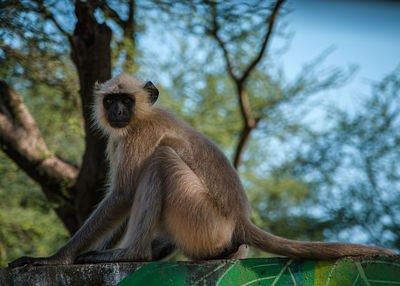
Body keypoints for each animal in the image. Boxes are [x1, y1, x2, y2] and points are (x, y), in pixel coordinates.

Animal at [7, 74, 396, 268]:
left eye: (126, 100)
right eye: (111, 100)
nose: (117, 111)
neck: (141, 117)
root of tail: (240, 220)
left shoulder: (137, 136)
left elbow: (123, 195)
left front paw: (54, 258)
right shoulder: (119, 138)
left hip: (203, 219)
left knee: (161, 161)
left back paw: (135, 253)